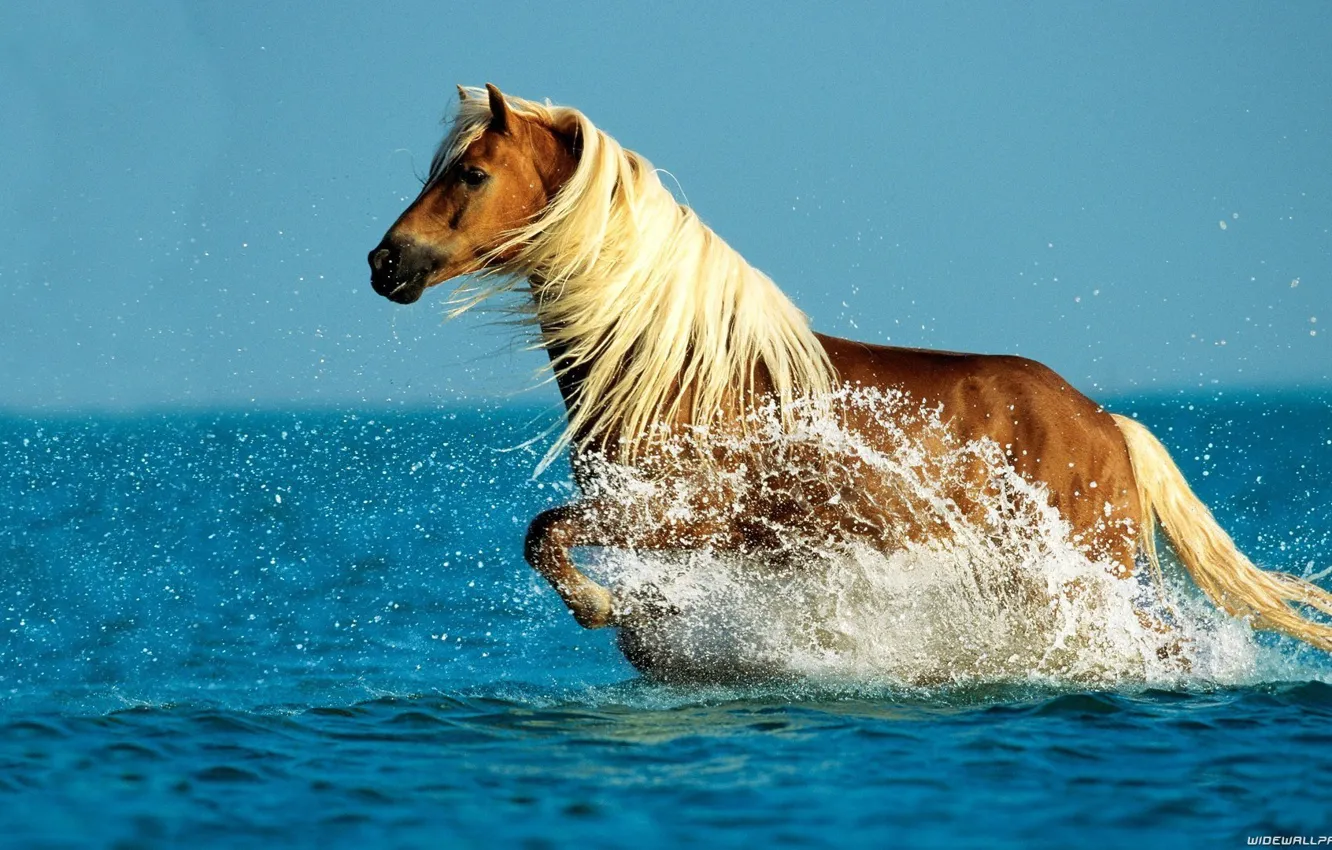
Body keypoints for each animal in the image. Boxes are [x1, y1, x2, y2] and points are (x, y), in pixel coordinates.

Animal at [368, 83, 1332, 659]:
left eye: (473, 173)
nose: (386, 263)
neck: (678, 370)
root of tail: (1106, 424)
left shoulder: (679, 517)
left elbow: (544, 535)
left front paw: (602, 609)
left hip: (1083, 575)